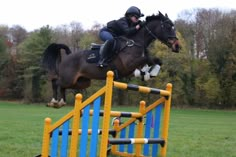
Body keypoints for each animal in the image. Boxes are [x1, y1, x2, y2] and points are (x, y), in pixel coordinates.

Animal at [42, 11, 180, 108]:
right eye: (168, 26)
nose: (177, 46)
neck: (136, 42)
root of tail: (66, 58)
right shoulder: (129, 64)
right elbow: (149, 59)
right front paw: (146, 74)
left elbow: (155, 61)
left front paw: (147, 73)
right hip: (69, 78)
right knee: (56, 82)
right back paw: (54, 101)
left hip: (82, 82)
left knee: (63, 86)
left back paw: (61, 102)